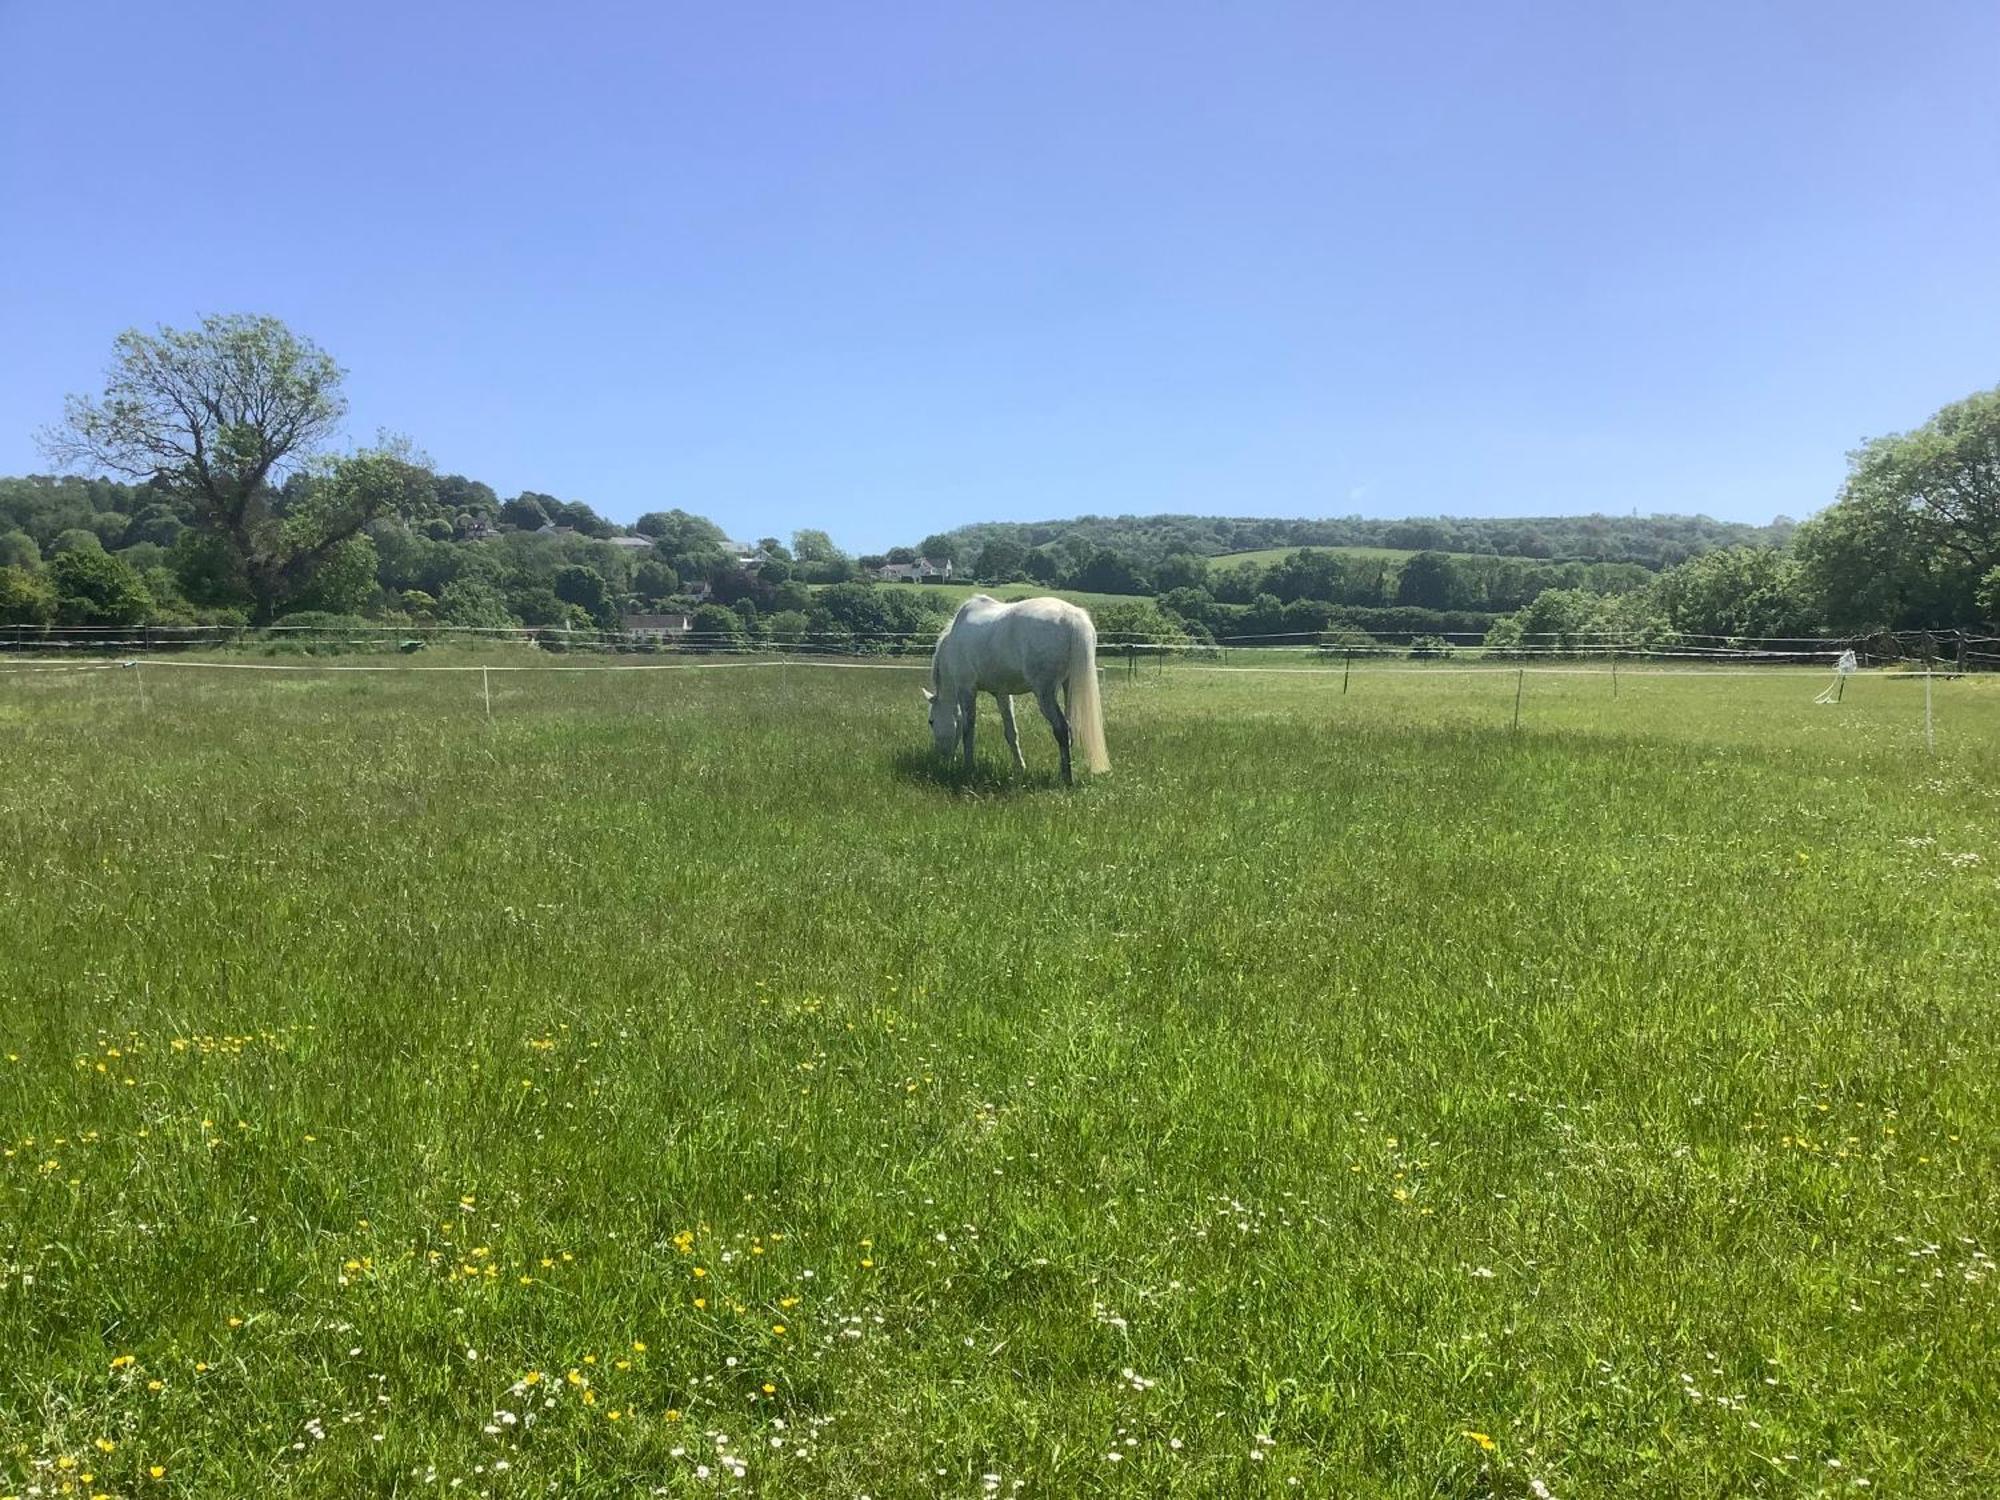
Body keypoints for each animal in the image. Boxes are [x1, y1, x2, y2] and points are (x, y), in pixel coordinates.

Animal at [920, 596, 1112, 788]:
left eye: (931, 721)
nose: (941, 758)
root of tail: (1071, 616)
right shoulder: (1002, 694)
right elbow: (1011, 732)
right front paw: (1020, 767)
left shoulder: (966, 690)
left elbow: (968, 730)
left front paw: (968, 768)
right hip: (1069, 687)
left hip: (1045, 695)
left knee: (1062, 729)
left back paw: (1067, 779)